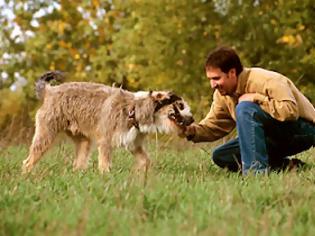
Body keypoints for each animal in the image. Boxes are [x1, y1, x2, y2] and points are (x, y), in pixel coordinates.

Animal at [22, 71, 194, 172]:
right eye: (180, 105)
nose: (192, 119)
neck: (134, 110)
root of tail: (50, 91)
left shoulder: (134, 144)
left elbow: (145, 161)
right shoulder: (105, 141)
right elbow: (105, 164)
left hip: (83, 141)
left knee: (79, 162)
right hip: (46, 135)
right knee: (29, 160)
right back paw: (27, 175)